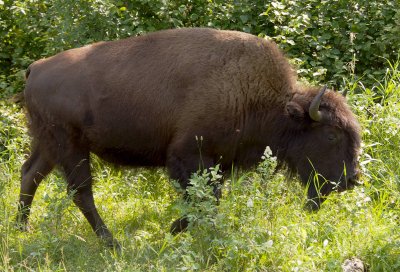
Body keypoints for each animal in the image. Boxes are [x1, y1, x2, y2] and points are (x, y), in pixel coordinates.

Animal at [16, 27, 360, 246]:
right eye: (331, 136)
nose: (350, 180)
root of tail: (36, 68)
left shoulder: (217, 163)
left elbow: (207, 200)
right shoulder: (188, 157)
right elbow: (202, 199)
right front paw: (169, 234)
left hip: (48, 144)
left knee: (30, 174)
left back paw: (22, 228)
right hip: (70, 145)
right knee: (81, 191)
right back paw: (111, 242)